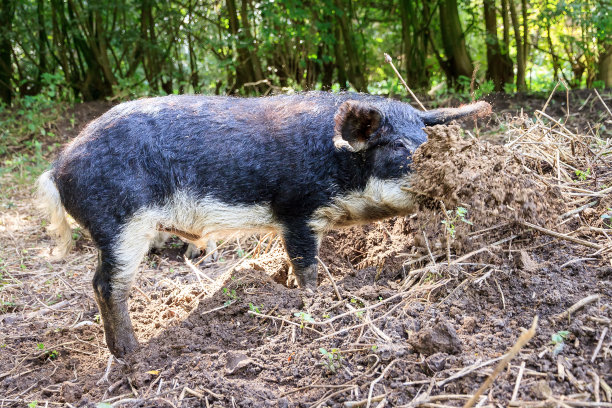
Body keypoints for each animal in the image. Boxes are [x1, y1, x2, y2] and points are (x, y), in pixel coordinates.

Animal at [37, 91, 488, 356]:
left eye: (426, 137)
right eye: (396, 145)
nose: (458, 171)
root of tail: (59, 167)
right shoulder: (297, 210)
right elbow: (306, 265)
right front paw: (314, 301)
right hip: (120, 225)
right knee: (106, 284)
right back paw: (133, 355)